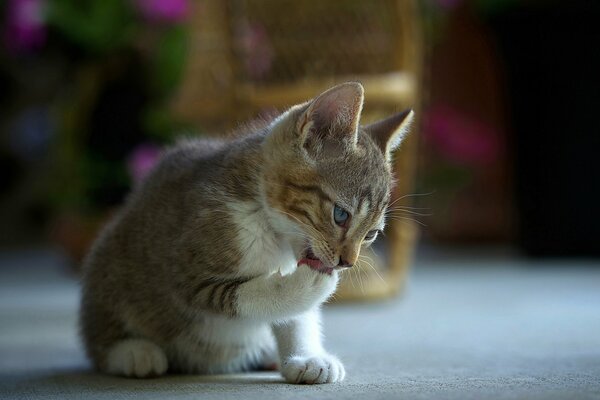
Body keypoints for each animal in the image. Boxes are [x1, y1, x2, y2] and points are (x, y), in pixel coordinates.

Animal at [79, 82, 414, 384]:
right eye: (341, 215)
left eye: (371, 234)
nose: (347, 262)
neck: (271, 232)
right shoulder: (188, 270)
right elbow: (246, 294)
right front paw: (303, 286)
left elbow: (298, 317)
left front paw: (305, 356)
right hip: (111, 266)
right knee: (100, 338)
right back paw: (133, 352)